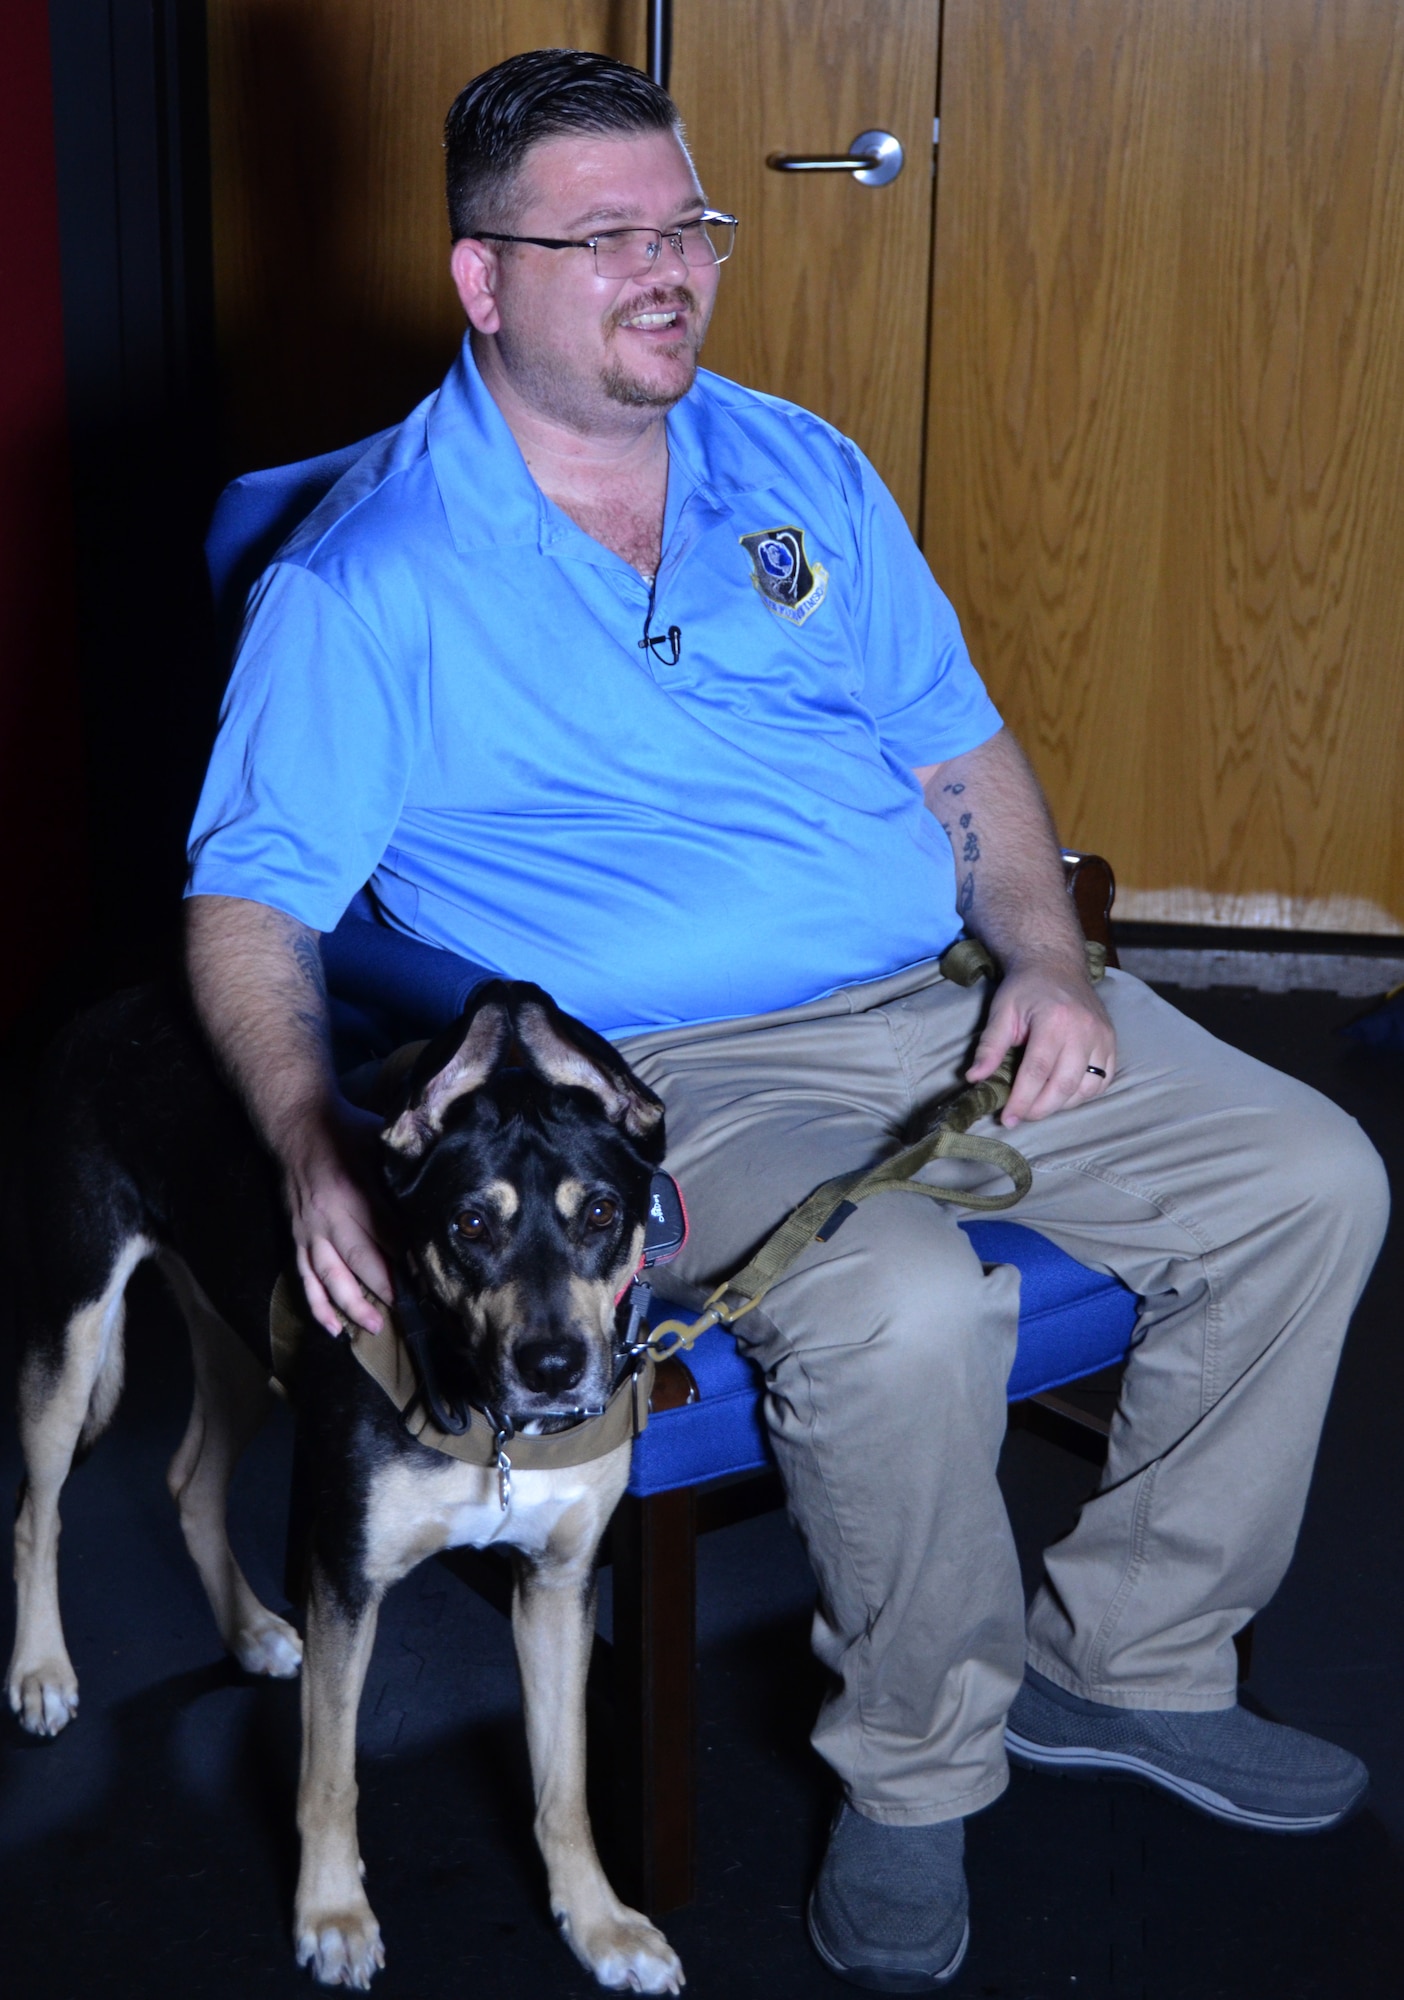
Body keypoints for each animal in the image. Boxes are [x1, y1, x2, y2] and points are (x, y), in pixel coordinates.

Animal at [5, 980, 688, 1984]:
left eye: (602, 1214)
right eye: (469, 1226)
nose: (555, 1369)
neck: (492, 1426)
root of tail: (121, 1000)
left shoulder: (557, 1586)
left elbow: (564, 1785)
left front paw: (598, 1923)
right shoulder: (344, 1578)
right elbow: (329, 1773)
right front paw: (331, 1913)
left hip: (241, 1341)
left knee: (190, 1480)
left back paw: (248, 1631)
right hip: (72, 1326)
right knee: (38, 1509)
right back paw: (41, 1669)